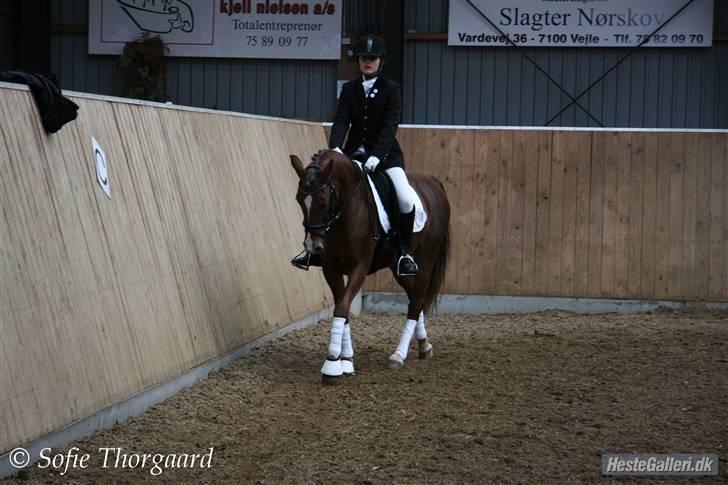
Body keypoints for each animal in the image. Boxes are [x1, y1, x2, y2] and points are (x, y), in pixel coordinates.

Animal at [290, 149, 450, 384]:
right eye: (299, 199)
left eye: (323, 200)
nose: (313, 246)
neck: (345, 212)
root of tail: (433, 181)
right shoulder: (331, 269)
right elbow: (343, 310)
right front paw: (346, 361)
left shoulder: (360, 268)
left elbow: (342, 307)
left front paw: (332, 365)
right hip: (397, 267)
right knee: (416, 299)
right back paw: (424, 345)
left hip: (426, 259)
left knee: (416, 302)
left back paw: (398, 355)